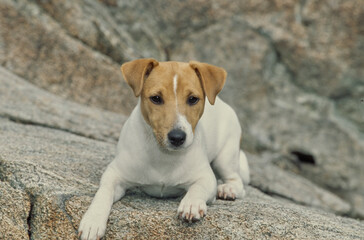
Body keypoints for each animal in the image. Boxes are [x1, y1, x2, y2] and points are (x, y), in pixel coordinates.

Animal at [78, 58, 250, 240]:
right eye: (156, 98)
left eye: (193, 99)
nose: (177, 137)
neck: (164, 155)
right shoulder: (115, 174)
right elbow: (103, 192)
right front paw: (93, 220)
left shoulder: (205, 178)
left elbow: (198, 188)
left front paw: (191, 204)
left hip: (225, 156)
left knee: (237, 181)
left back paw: (227, 189)